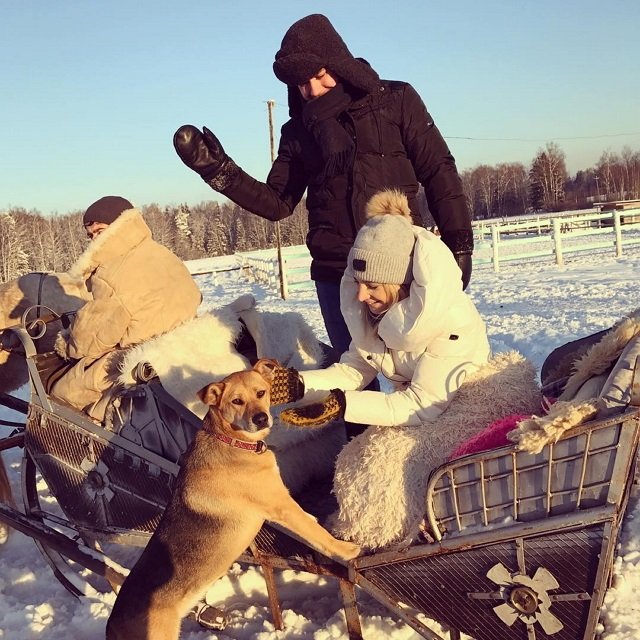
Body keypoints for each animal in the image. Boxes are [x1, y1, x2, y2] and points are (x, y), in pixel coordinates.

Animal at [106, 360, 360, 640]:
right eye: (236, 401)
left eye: (261, 393)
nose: (260, 418)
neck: (232, 440)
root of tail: (113, 624)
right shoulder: (281, 506)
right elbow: (317, 534)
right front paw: (346, 550)